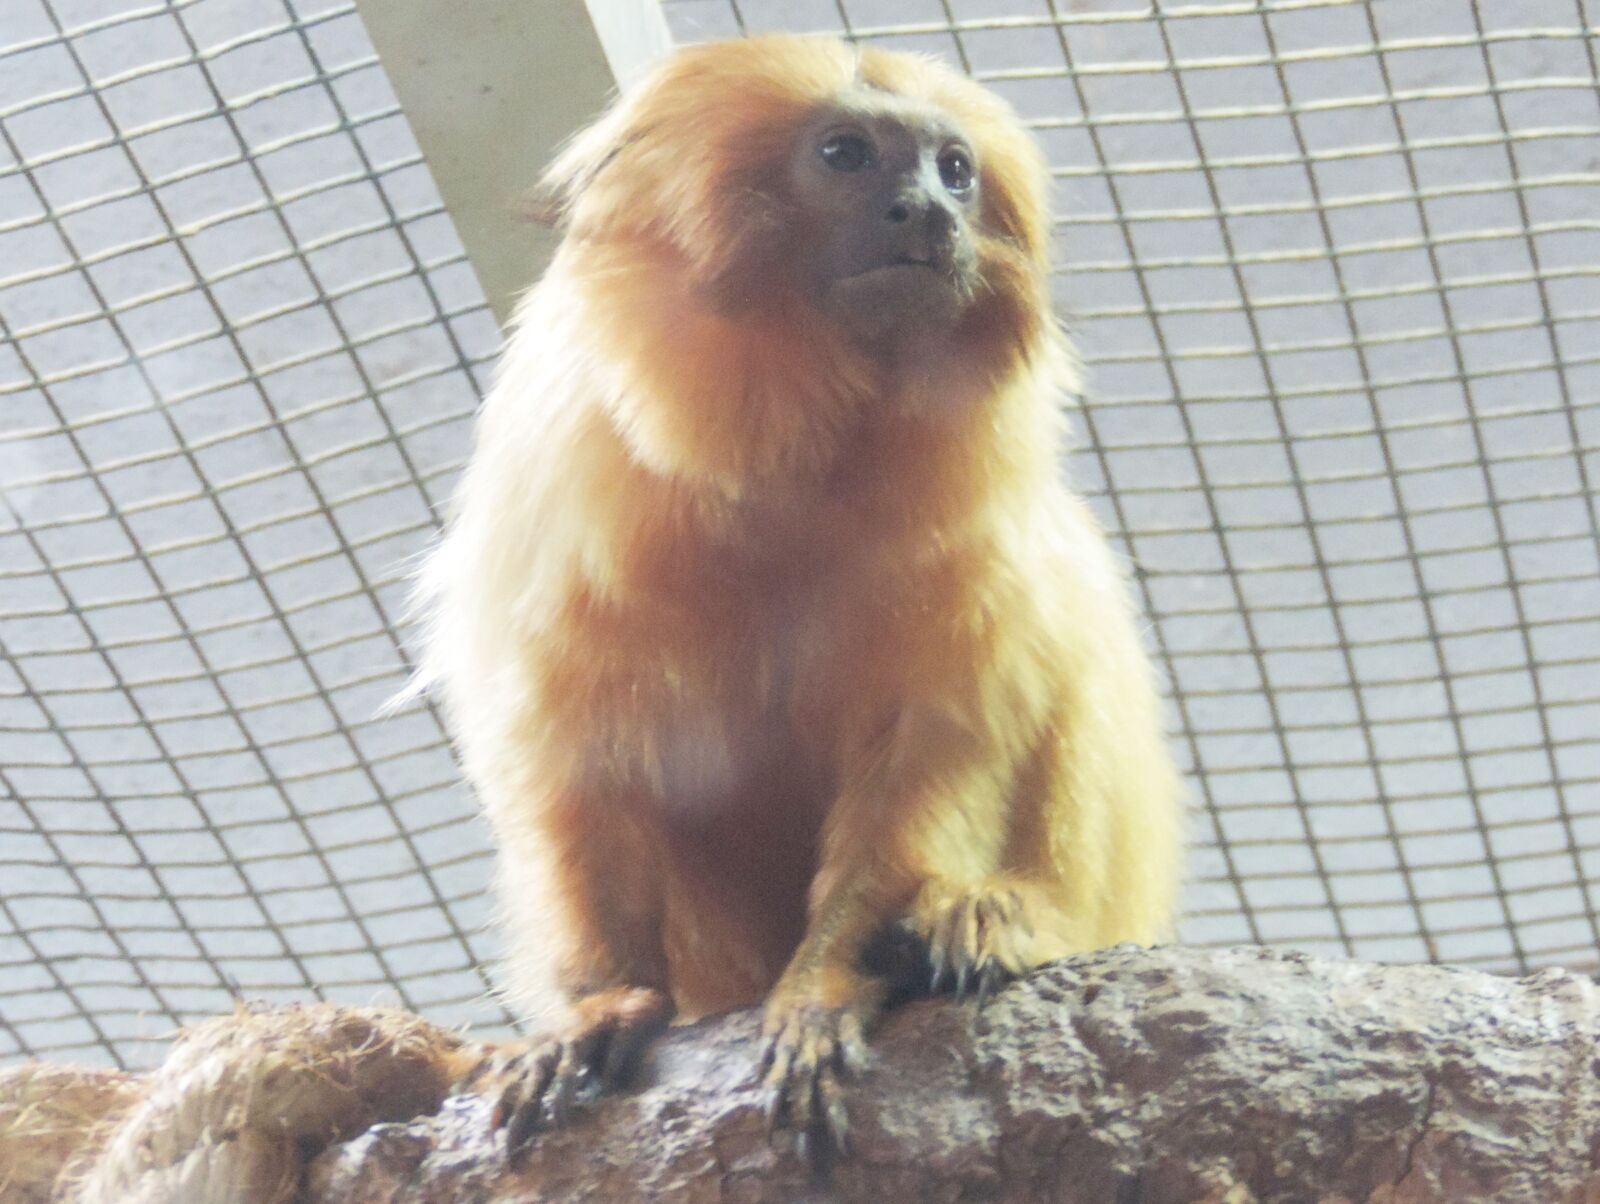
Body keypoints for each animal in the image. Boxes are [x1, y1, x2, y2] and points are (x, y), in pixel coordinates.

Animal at [411, 33, 1183, 1158]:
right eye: (846, 154)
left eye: (955, 169)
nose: (929, 212)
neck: (789, 469)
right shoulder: (562, 528)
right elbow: (575, 770)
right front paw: (597, 1007)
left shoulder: (968, 561)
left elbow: (932, 756)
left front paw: (827, 983)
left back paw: (993, 921)